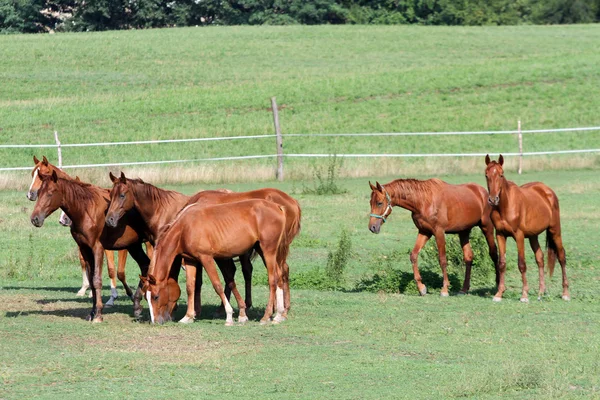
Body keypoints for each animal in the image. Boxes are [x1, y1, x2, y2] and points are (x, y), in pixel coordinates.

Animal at [27, 156, 131, 304]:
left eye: (42, 174)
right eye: (32, 174)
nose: (30, 194)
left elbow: (111, 269)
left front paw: (112, 296)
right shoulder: (83, 243)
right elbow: (84, 263)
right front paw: (86, 290)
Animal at [30, 170, 152, 322]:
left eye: (50, 193)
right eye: (39, 192)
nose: (35, 219)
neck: (86, 211)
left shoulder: (97, 249)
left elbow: (96, 280)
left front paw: (98, 314)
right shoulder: (85, 249)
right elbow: (91, 282)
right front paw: (92, 312)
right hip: (134, 246)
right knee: (145, 264)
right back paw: (137, 305)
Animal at [142, 200, 290, 324]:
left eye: (155, 297)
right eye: (146, 298)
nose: (155, 322)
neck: (185, 228)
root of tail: (277, 207)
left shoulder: (206, 258)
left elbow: (217, 285)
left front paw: (229, 316)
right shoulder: (190, 260)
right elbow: (190, 287)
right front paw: (188, 317)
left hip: (268, 251)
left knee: (272, 280)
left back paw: (266, 316)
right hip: (263, 250)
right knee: (279, 277)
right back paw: (278, 315)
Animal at [368, 180, 500, 296]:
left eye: (379, 203)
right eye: (370, 202)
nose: (372, 227)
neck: (423, 201)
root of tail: (484, 192)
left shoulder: (439, 232)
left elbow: (442, 260)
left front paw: (445, 289)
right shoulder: (424, 232)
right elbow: (413, 255)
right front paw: (421, 288)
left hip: (487, 227)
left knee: (493, 254)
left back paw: (498, 285)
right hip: (464, 232)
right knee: (468, 257)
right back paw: (464, 289)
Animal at [486, 155, 568, 302]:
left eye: (501, 175)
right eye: (486, 175)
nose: (493, 199)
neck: (505, 206)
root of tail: (547, 191)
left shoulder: (519, 235)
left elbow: (521, 264)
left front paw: (524, 295)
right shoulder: (500, 235)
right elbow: (502, 264)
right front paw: (499, 294)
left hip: (555, 231)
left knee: (561, 256)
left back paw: (565, 293)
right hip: (533, 236)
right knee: (540, 258)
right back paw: (541, 292)